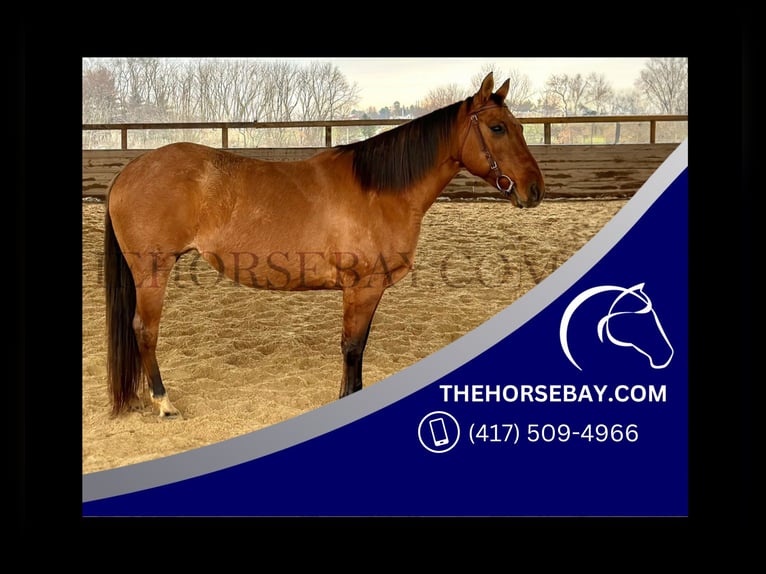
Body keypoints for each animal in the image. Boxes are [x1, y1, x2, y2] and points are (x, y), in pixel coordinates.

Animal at [104, 72, 545, 418]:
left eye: (520, 127)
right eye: (498, 128)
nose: (535, 190)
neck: (378, 191)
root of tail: (130, 171)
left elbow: (358, 347)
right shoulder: (361, 287)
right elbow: (352, 348)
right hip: (153, 271)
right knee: (145, 330)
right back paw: (163, 402)